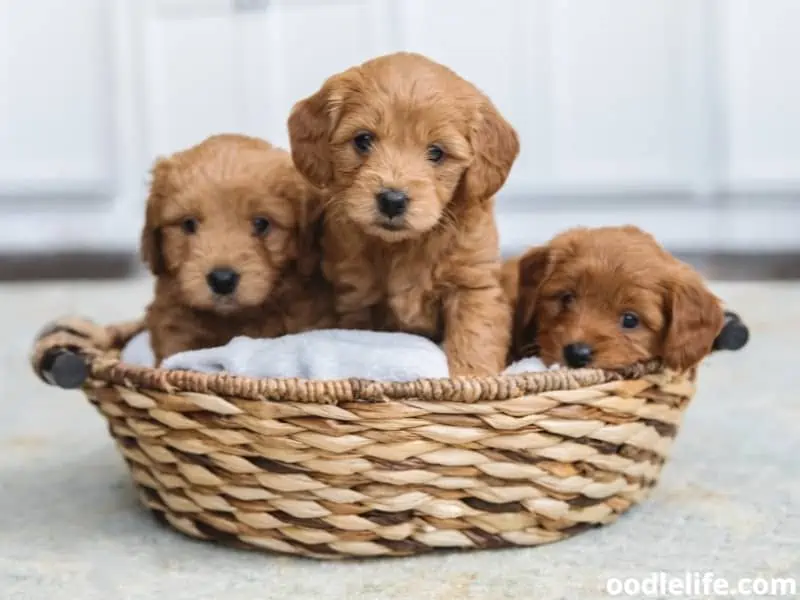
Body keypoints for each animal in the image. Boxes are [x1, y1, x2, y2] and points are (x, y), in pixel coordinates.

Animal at [288, 54, 520, 378]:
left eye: (437, 152)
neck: (402, 246)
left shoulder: (473, 287)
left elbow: (473, 339)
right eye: (363, 140)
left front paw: (471, 378)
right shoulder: (356, 298)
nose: (392, 200)